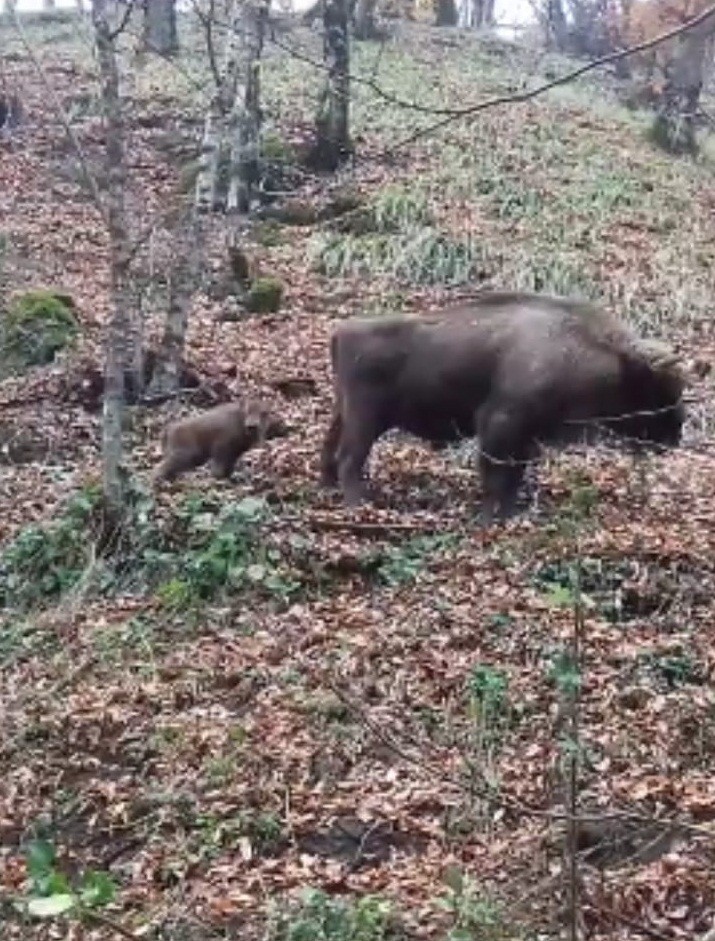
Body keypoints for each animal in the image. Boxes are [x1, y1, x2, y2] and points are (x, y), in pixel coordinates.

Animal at [153, 400, 288, 484]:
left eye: (264, 413)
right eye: (247, 411)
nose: (252, 426)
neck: (239, 421)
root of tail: (169, 429)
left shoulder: (235, 453)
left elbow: (229, 467)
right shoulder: (221, 447)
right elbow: (219, 468)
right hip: (184, 455)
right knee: (160, 469)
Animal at [320, 292, 688, 520]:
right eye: (659, 388)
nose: (676, 434)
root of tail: (343, 331)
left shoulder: (526, 436)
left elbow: (514, 476)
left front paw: (508, 514)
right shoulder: (500, 423)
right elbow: (496, 476)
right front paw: (487, 519)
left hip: (344, 412)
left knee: (329, 449)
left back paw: (327, 488)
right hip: (365, 418)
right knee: (350, 458)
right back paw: (358, 505)